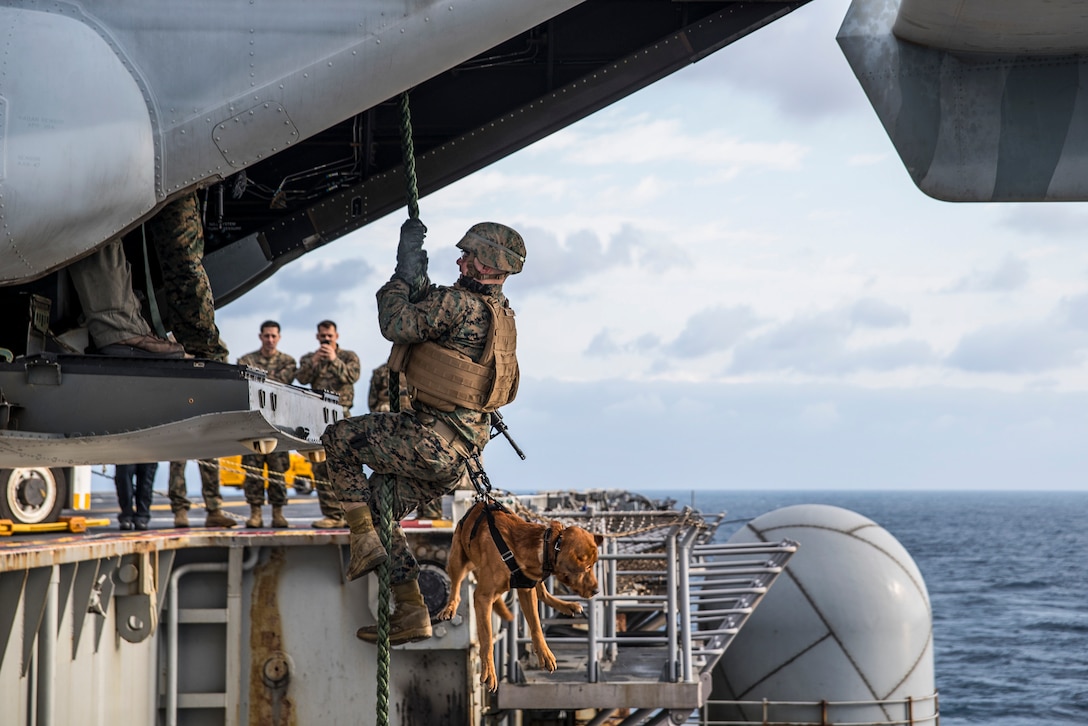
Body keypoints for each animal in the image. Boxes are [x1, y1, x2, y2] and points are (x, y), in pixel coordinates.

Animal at [433, 500, 604, 692]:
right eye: (587, 567)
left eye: (593, 565)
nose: (597, 591)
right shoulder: (483, 597)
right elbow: (487, 639)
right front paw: (489, 671)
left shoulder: (526, 588)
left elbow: (536, 624)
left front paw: (545, 654)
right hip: (457, 558)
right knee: (456, 586)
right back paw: (449, 608)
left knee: (542, 593)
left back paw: (567, 605)